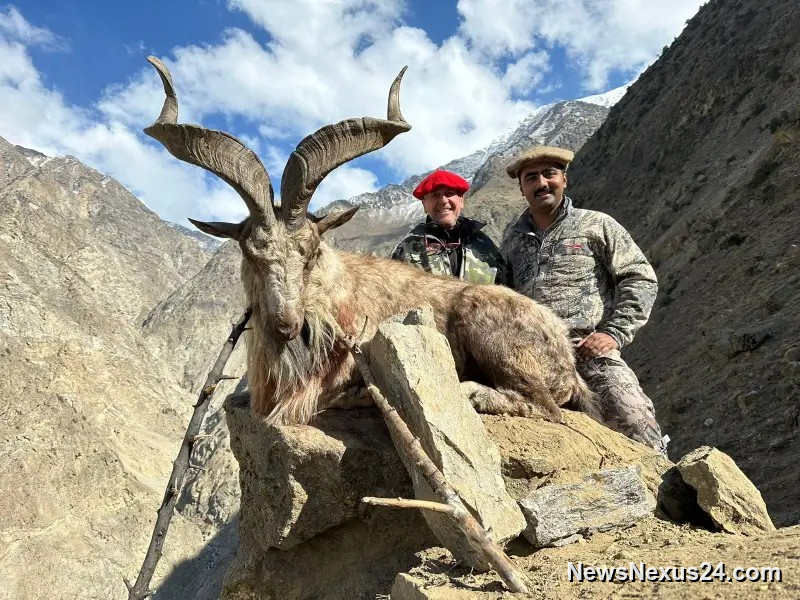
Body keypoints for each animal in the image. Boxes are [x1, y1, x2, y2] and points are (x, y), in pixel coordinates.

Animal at [143, 56, 596, 426]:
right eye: (250, 252)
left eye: (311, 252)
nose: (287, 325)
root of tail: (568, 359)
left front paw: (360, 394)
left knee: (546, 407)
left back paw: (469, 392)